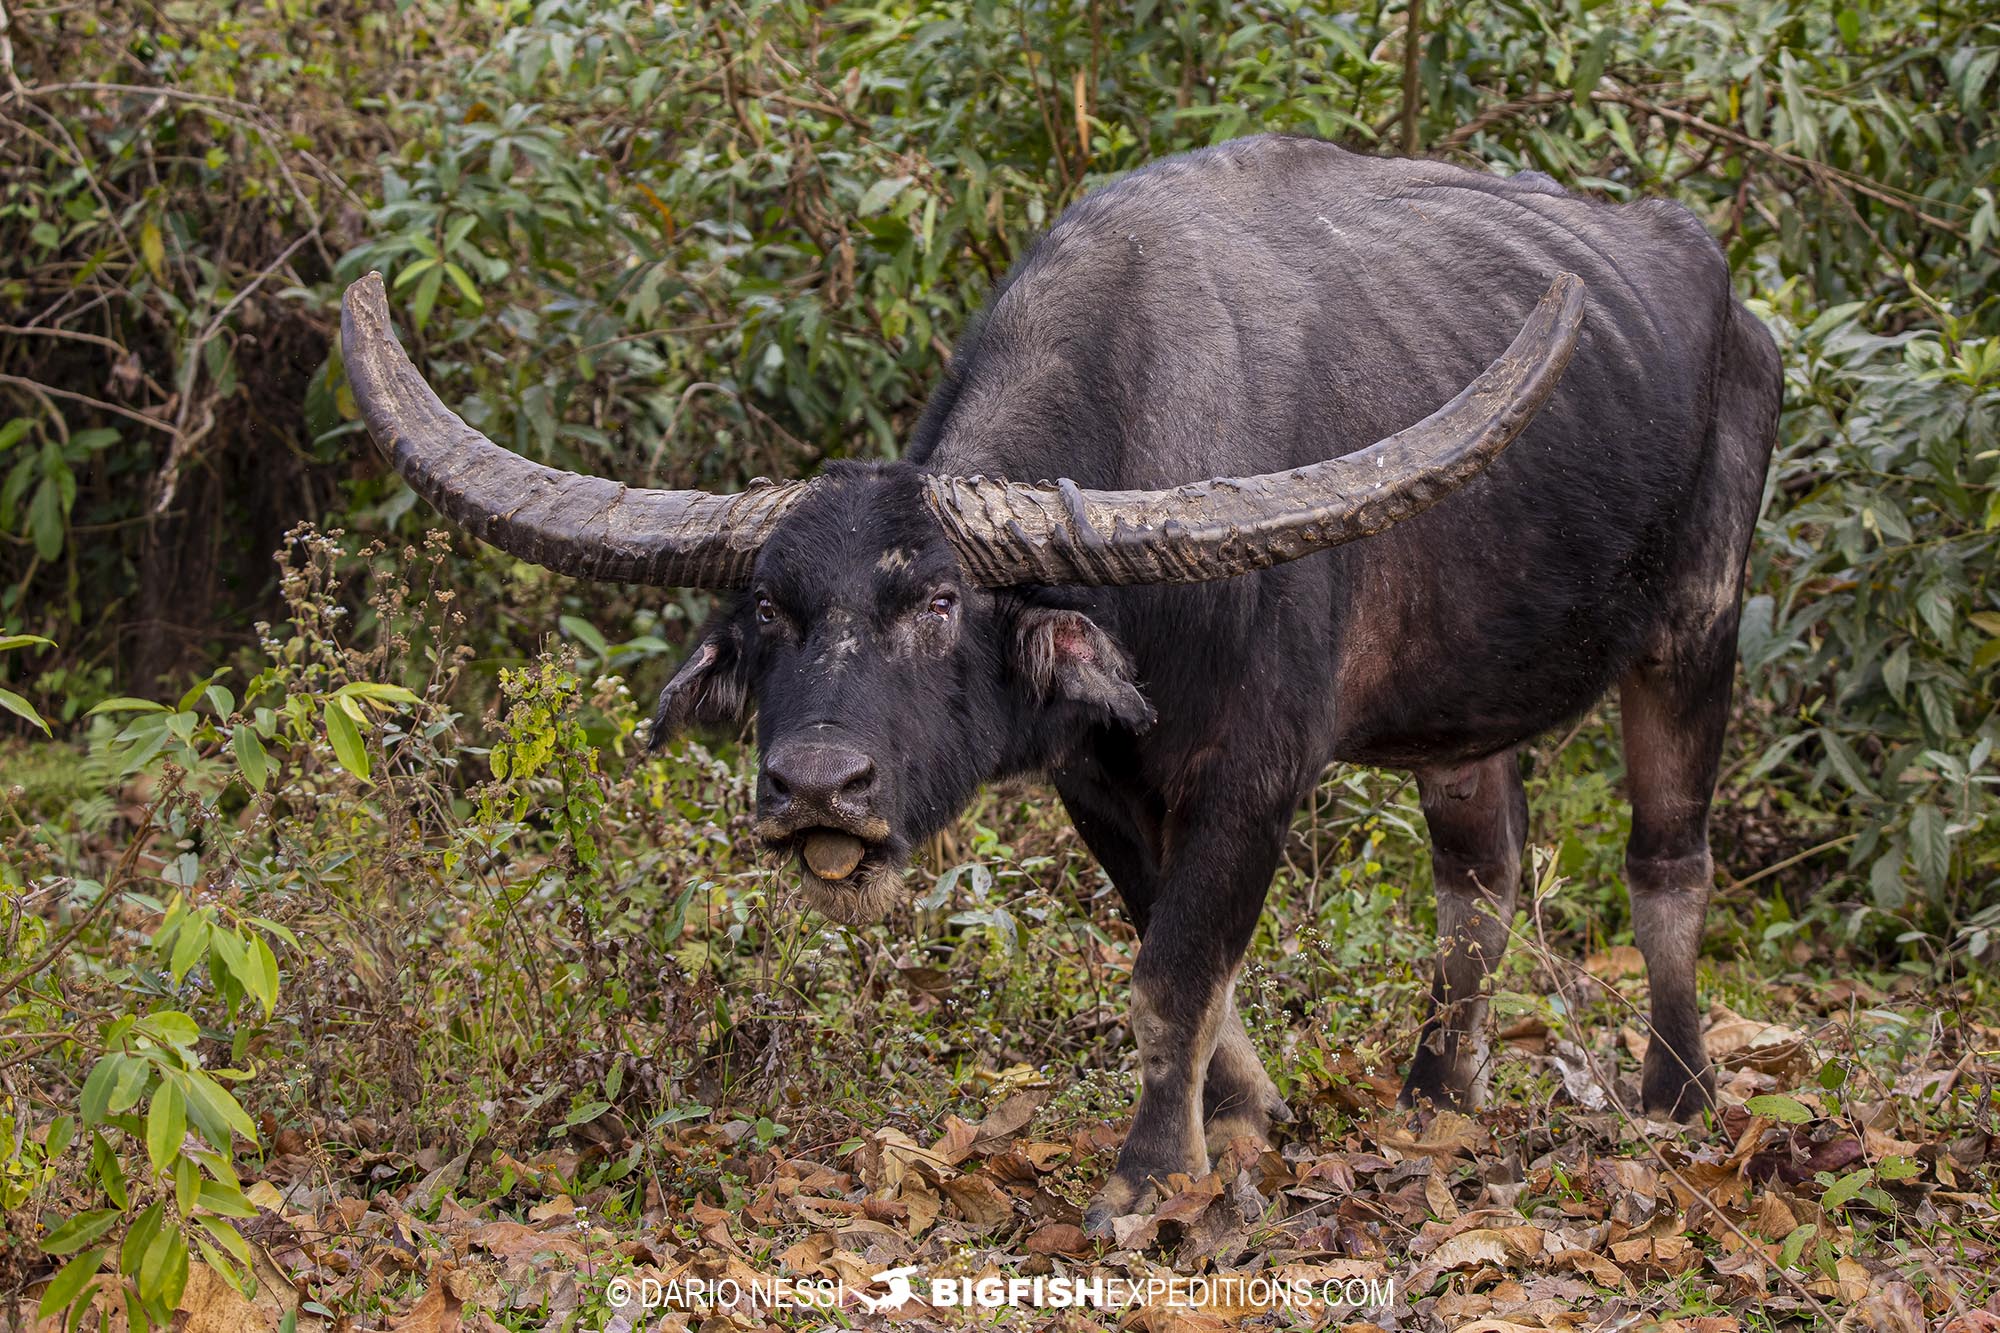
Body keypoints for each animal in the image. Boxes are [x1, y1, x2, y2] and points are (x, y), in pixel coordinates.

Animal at [340, 135, 1784, 1224]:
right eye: (766, 610)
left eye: (937, 601)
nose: (818, 789)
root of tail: (1734, 311)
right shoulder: (1097, 779)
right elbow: (1177, 962)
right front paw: (1243, 1122)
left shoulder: (1255, 777)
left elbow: (1174, 970)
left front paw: (1149, 1178)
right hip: (1463, 714)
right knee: (1478, 882)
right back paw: (1435, 1093)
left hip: (1696, 628)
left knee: (1666, 862)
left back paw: (1676, 1096)